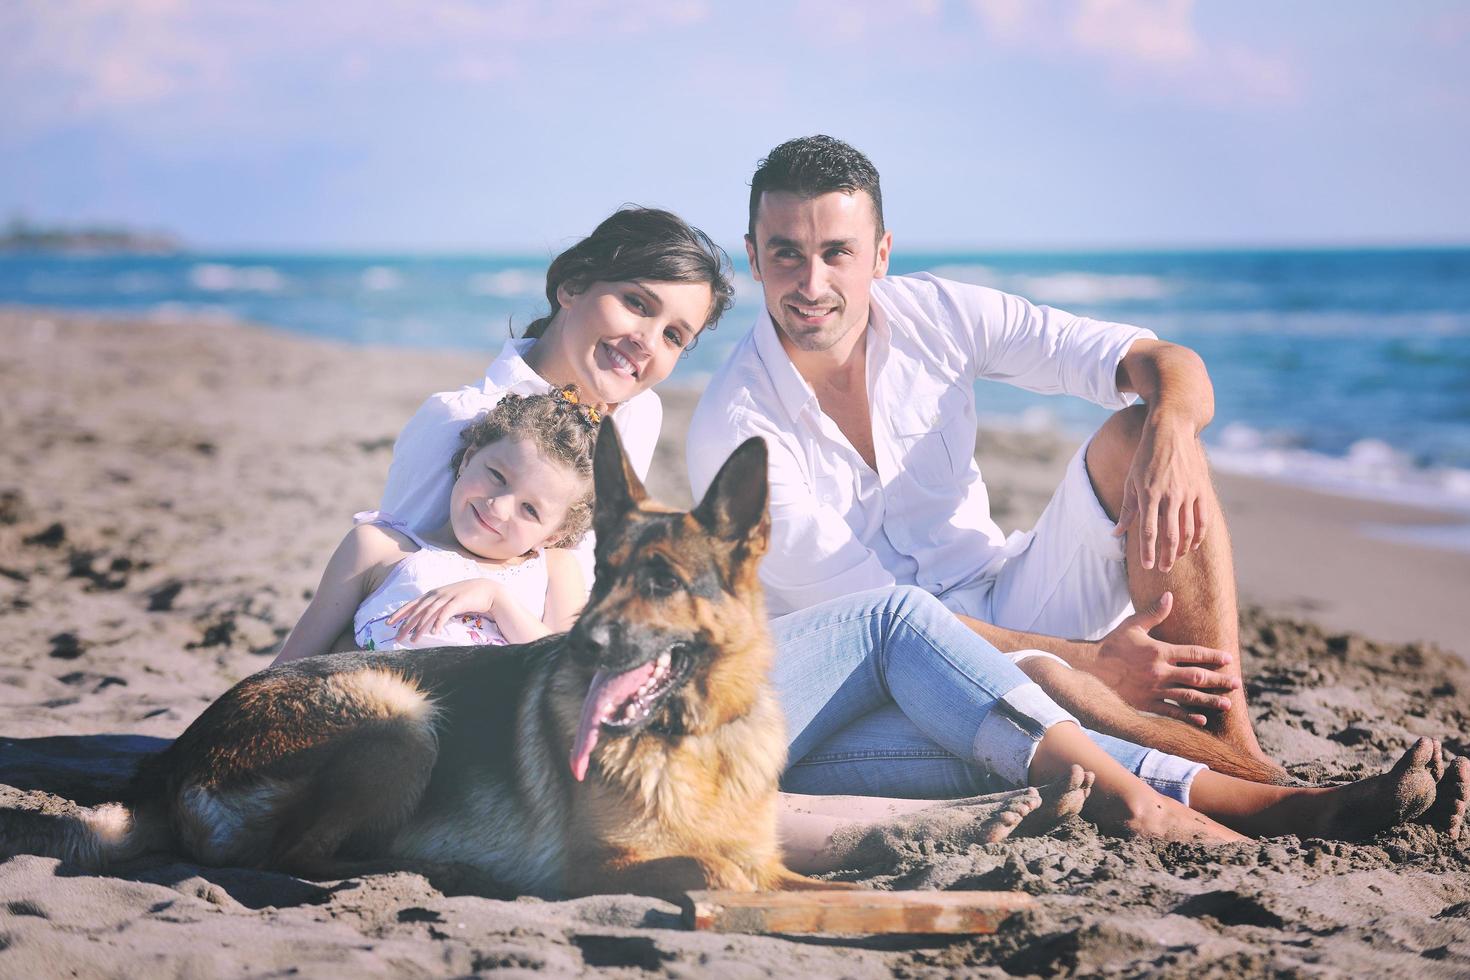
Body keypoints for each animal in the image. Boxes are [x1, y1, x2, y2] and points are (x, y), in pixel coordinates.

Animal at [8, 426, 829, 899]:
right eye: (603, 577)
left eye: (661, 582)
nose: (579, 645)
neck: (694, 739)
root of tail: (171, 764)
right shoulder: (595, 869)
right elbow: (711, 868)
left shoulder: (769, 862)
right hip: (400, 716)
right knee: (290, 855)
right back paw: (429, 871)